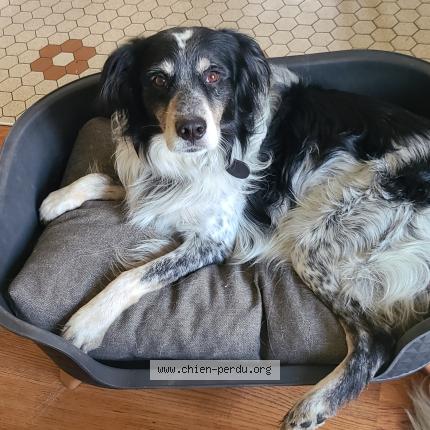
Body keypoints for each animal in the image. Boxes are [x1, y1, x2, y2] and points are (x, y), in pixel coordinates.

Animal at [40, 27, 430, 429]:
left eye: (214, 75)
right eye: (158, 79)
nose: (192, 129)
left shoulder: (214, 241)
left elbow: (136, 275)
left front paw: (88, 320)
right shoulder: (155, 190)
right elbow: (108, 179)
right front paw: (57, 200)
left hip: (315, 238)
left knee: (375, 341)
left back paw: (312, 407)